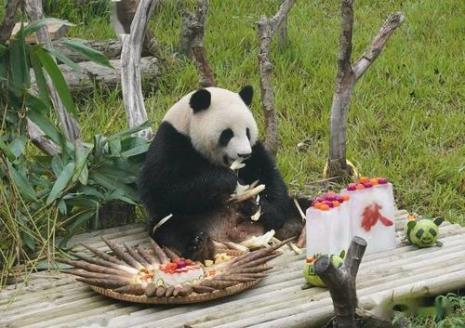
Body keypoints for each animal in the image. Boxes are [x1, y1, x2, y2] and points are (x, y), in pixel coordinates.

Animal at [140, 86, 302, 260]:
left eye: (247, 132)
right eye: (227, 134)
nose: (244, 154)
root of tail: (229, 232)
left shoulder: (254, 150)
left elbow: (268, 176)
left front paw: (261, 208)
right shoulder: (171, 143)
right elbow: (162, 188)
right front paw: (226, 180)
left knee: (298, 206)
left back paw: (293, 225)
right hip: (178, 221)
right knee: (172, 228)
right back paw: (199, 245)